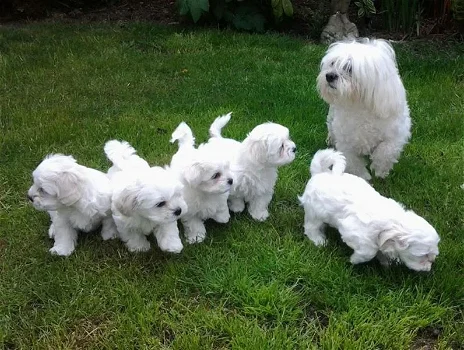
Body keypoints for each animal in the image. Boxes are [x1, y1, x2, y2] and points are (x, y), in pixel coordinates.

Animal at [300, 149, 440, 272]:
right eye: (423, 255)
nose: (432, 262)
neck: (390, 225)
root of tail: (319, 173)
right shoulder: (353, 231)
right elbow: (369, 252)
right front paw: (354, 259)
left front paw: (387, 263)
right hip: (315, 213)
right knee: (311, 227)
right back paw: (319, 241)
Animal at [318, 38, 412, 180]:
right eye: (332, 63)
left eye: (349, 68)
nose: (329, 76)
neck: (360, 106)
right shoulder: (347, 143)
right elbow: (354, 162)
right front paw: (363, 177)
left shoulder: (396, 135)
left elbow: (385, 151)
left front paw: (380, 170)